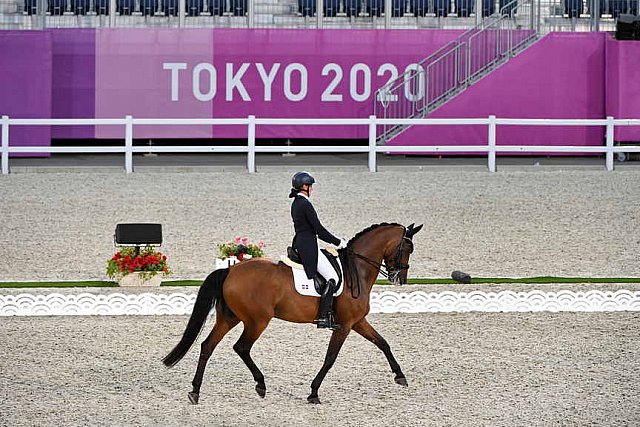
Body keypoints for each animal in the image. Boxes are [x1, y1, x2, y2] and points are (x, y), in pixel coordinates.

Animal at [162, 222, 422, 406]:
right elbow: (330, 358)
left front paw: (400, 376)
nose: (400, 279)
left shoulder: (357, 322)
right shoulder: (346, 325)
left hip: (229, 318)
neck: (355, 270)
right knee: (241, 347)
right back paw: (260, 385)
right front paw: (314, 392)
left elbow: (383, 343)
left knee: (207, 346)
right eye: (408, 248)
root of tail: (231, 270)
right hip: (257, 321)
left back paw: (195, 391)